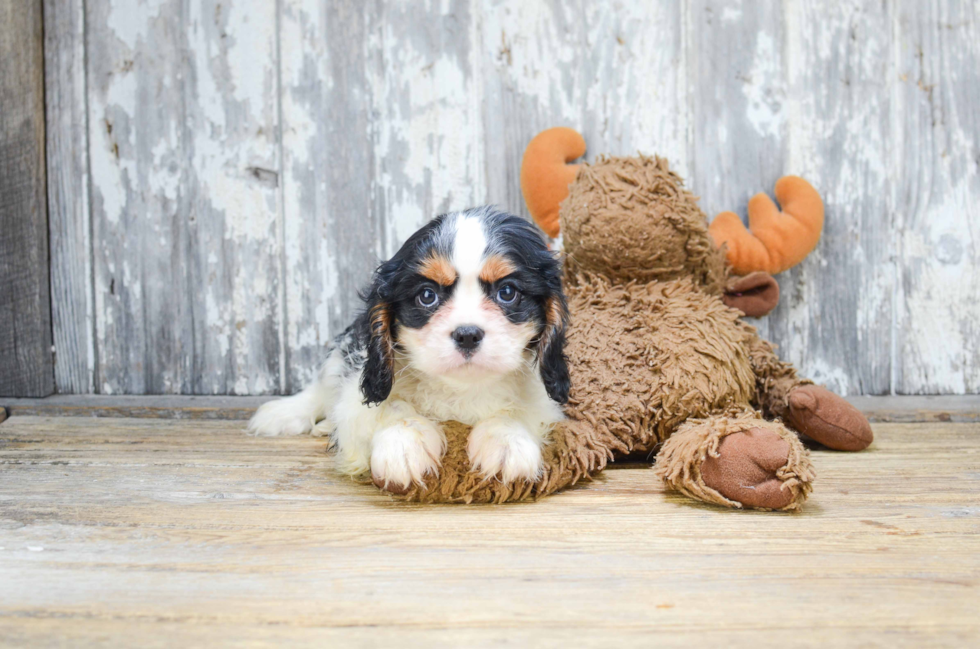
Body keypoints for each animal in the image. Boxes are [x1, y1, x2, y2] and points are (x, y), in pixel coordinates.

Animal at [249, 205, 572, 488]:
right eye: (427, 296)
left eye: (507, 292)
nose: (467, 334)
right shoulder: (359, 391)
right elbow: (390, 405)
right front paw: (404, 446)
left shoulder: (542, 400)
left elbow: (516, 410)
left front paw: (506, 443)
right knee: (322, 388)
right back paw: (285, 414)